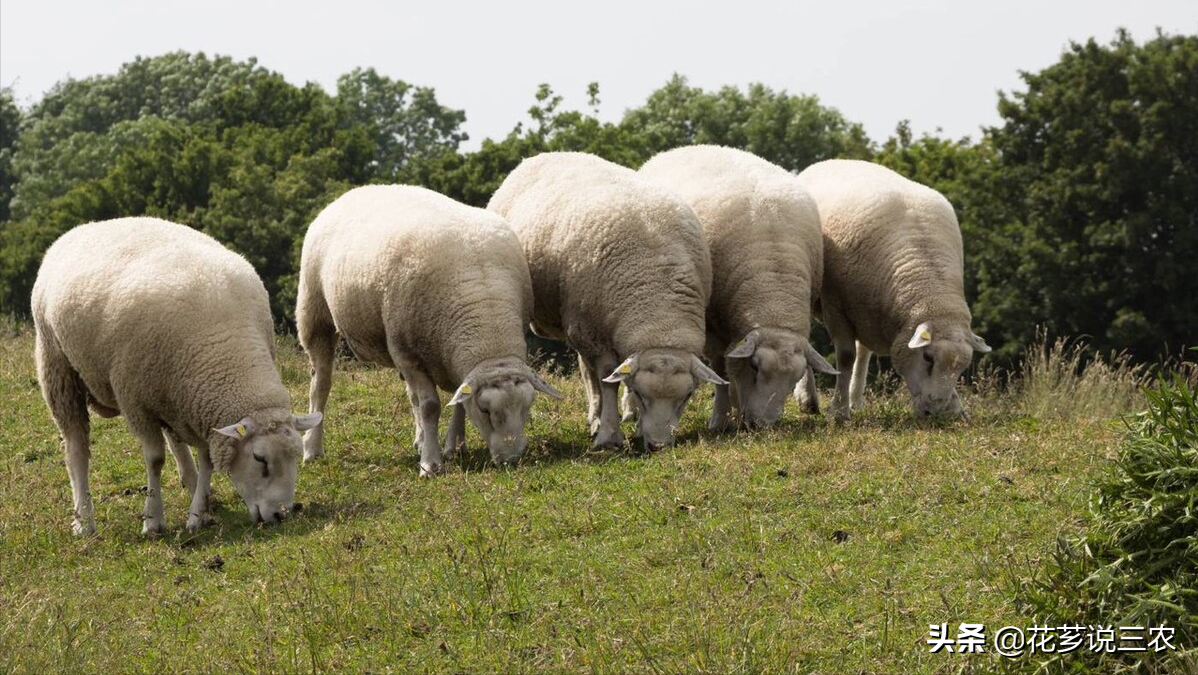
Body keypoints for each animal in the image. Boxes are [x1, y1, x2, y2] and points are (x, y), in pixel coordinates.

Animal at [32, 219, 321, 537]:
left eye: (295, 457)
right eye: (260, 459)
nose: (281, 515)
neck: (225, 346)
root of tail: (86, 227)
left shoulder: (201, 405)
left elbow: (207, 459)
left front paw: (197, 514)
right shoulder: (136, 401)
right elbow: (155, 459)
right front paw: (153, 520)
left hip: (171, 393)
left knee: (174, 438)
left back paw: (194, 487)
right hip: (58, 364)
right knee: (76, 447)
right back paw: (84, 519)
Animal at [297, 183, 563, 474]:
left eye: (527, 406)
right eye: (485, 410)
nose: (511, 460)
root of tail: (360, 189)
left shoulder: (452, 353)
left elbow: (457, 401)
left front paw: (453, 446)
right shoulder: (407, 353)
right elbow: (431, 407)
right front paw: (430, 463)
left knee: (410, 395)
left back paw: (420, 438)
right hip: (316, 313)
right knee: (321, 383)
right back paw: (312, 448)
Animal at [483, 150, 723, 450]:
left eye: (687, 396)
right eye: (641, 393)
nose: (658, 445)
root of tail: (547, 154)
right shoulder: (592, 332)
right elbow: (607, 379)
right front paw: (608, 434)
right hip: (580, 321)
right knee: (591, 375)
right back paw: (596, 417)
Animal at [637, 148, 843, 434]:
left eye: (793, 379)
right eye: (755, 367)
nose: (762, 426)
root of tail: (674, 151)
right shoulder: (712, 325)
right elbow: (722, 369)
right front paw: (720, 419)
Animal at [795, 160, 991, 419]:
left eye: (962, 367)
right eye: (928, 357)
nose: (936, 411)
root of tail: (829, 162)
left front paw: (957, 407)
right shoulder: (835, 305)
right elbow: (845, 357)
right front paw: (838, 411)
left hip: (866, 310)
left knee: (863, 351)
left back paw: (856, 400)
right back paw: (808, 398)